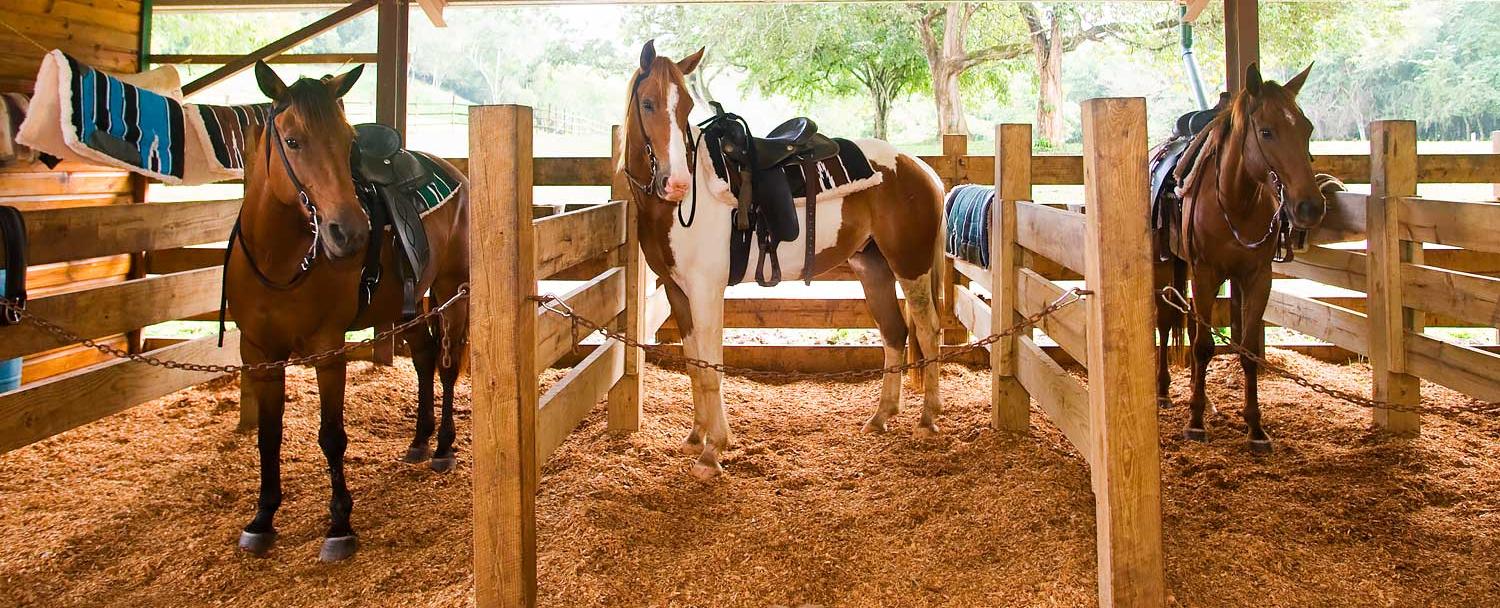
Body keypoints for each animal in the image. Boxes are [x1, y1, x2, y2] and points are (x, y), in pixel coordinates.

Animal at [226, 61, 468, 558]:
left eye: (348, 142)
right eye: (293, 140)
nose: (350, 231)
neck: (279, 259)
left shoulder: (328, 349)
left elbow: (332, 435)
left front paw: (339, 525)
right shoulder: (257, 352)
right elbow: (268, 435)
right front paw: (262, 518)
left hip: (453, 290)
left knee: (447, 364)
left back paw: (443, 447)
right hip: (406, 307)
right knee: (424, 358)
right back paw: (419, 440)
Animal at [615, 42, 942, 477]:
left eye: (685, 105)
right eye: (648, 103)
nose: (677, 183)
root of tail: (918, 166)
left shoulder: (706, 290)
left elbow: (712, 365)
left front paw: (713, 451)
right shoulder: (676, 291)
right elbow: (695, 365)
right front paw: (696, 437)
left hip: (910, 265)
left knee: (927, 329)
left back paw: (928, 419)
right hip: (873, 269)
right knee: (895, 333)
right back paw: (880, 418)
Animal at [1152, 63, 1332, 453]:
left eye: (1307, 128)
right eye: (1266, 131)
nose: (1310, 207)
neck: (1237, 199)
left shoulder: (1257, 276)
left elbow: (1248, 350)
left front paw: (1255, 428)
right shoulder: (1206, 273)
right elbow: (1204, 346)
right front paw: (1195, 423)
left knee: (1189, 322)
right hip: (1163, 263)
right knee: (1167, 320)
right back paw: (1163, 390)